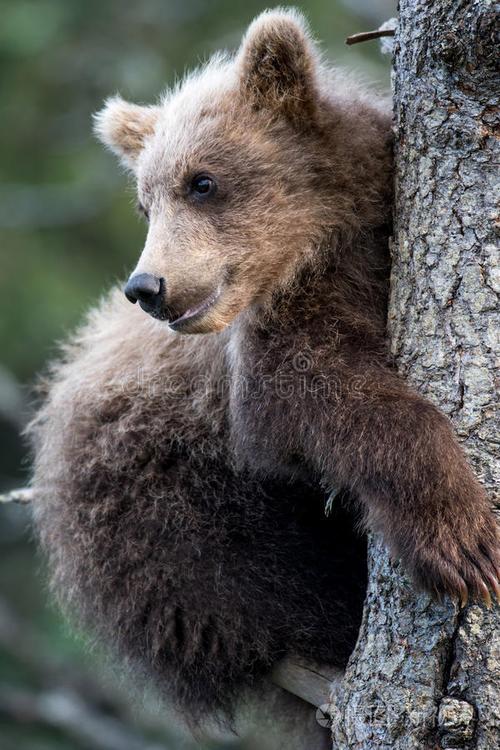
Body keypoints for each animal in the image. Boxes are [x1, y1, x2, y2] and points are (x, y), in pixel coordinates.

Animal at [29, 7, 498, 750]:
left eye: (201, 181)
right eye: (144, 204)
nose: (147, 287)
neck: (322, 245)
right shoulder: (271, 345)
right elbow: (314, 398)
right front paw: (463, 538)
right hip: (162, 507)